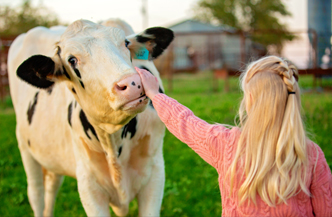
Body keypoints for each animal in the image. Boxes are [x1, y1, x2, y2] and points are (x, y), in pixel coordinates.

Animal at [7, 19, 174, 217]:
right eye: (72, 60)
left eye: (126, 43)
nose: (133, 83)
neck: (113, 141)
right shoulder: (88, 184)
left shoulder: (155, 172)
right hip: (25, 147)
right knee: (36, 193)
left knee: (52, 186)